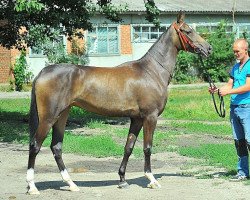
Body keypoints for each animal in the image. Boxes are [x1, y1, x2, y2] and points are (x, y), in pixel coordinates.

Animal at [26, 12, 211, 194]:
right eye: (187, 31)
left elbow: (128, 147)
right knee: (35, 145)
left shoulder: (137, 119)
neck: (152, 71)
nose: (208, 48)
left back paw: (71, 184)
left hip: (62, 115)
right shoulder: (150, 117)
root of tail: (41, 73)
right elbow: (147, 147)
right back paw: (32, 186)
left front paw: (122, 180)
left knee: (56, 147)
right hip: (49, 118)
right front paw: (151, 180)